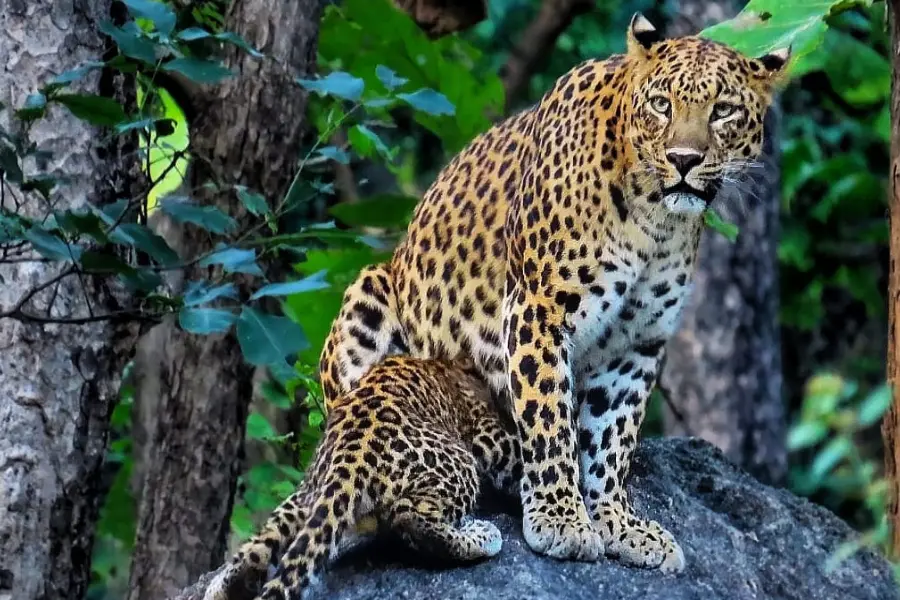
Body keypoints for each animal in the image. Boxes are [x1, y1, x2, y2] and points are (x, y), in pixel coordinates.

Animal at [203, 355, 522, 600]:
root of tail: (350, 452)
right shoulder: (486, 432)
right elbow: (519, 454)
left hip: (305, 494)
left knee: (258, 547)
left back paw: (222, 587)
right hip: (457, 463)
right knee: (412, 518)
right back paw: (482, 536)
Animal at [318, 12, 790, 574]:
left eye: (723, 111)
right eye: (661, 105)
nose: (683, 159)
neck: (656, 218)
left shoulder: (638, 343)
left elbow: (612, 437)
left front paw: (619, 523)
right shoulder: (538, 309)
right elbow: (548, 419)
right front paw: (560, 518)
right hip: (366, 296)